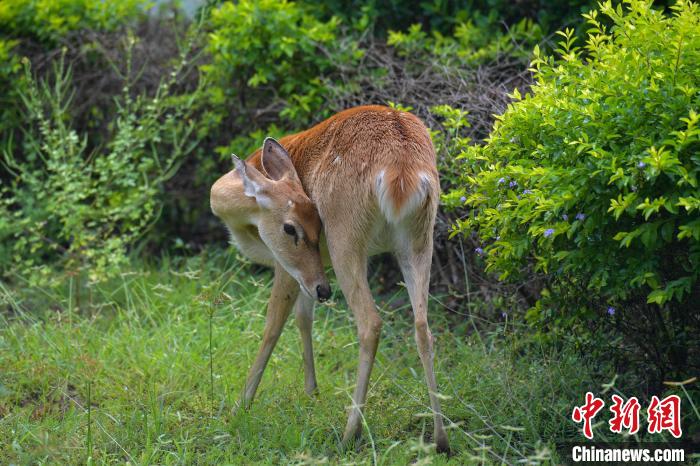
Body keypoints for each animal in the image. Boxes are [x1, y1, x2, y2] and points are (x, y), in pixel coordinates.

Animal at [209, 104, 448, 452]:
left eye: (294, 227)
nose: (324, 291)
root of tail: (402, 170)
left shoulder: (288, 266)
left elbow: (273, 324)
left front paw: (240, 406)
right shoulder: (311, 274)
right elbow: (303, 318)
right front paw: (312, 393)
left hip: (344, 236)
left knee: (371, 322)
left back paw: (350, 433)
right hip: (419, 237)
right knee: (422, 327)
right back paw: (441, 439)